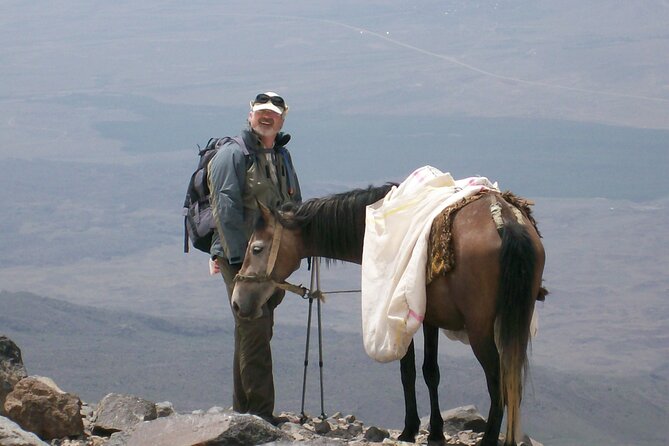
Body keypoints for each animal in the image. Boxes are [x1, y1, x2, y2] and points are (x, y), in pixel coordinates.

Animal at [230, 183, 544, 444]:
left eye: (256, 248)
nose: (237, 301)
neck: (377, 226)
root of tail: (505, 220)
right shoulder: (429, 318)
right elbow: (430, 372)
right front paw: (436, 432)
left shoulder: (400, 317)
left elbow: (407, 372)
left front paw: (409, 430)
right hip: (514, 322)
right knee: (510, 379)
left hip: (480, 330)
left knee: (497, 382)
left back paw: (489, 439)